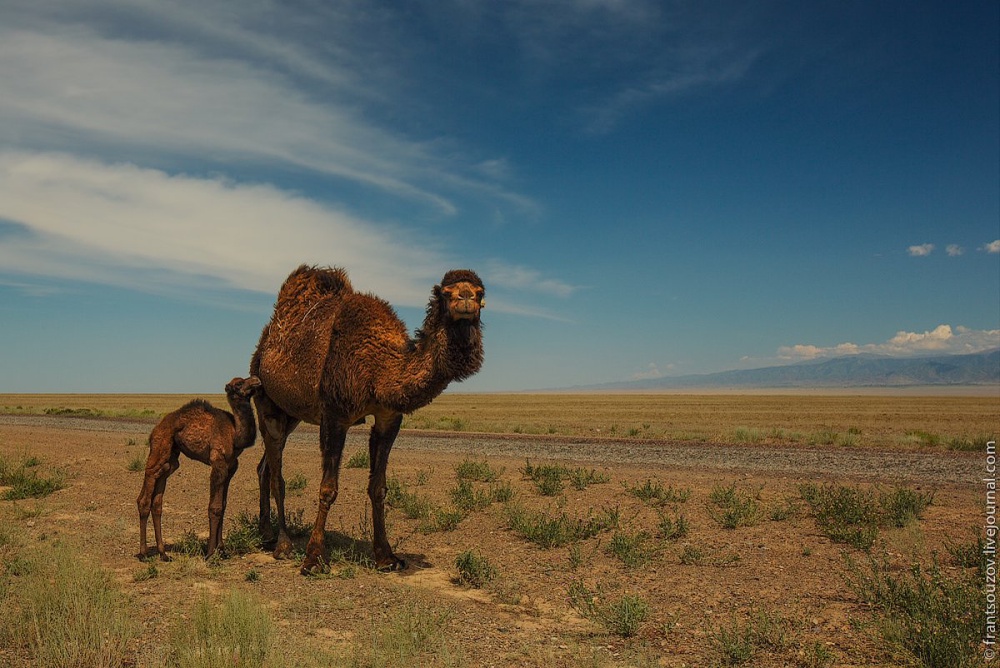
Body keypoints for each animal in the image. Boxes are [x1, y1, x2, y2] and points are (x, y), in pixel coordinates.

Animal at [137, 376, 262, 560]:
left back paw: (163, 553)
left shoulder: (231, 466)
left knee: (158, 499)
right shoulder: (217, 462)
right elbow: (214, 507)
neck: (234, 434)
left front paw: (222, 550)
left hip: (171, 459)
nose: (256, 380)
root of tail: (154, 430)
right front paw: (210, 553)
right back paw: (144, 553)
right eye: (239, 383)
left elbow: (223, 505)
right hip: (160, 445)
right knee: (147, 487)